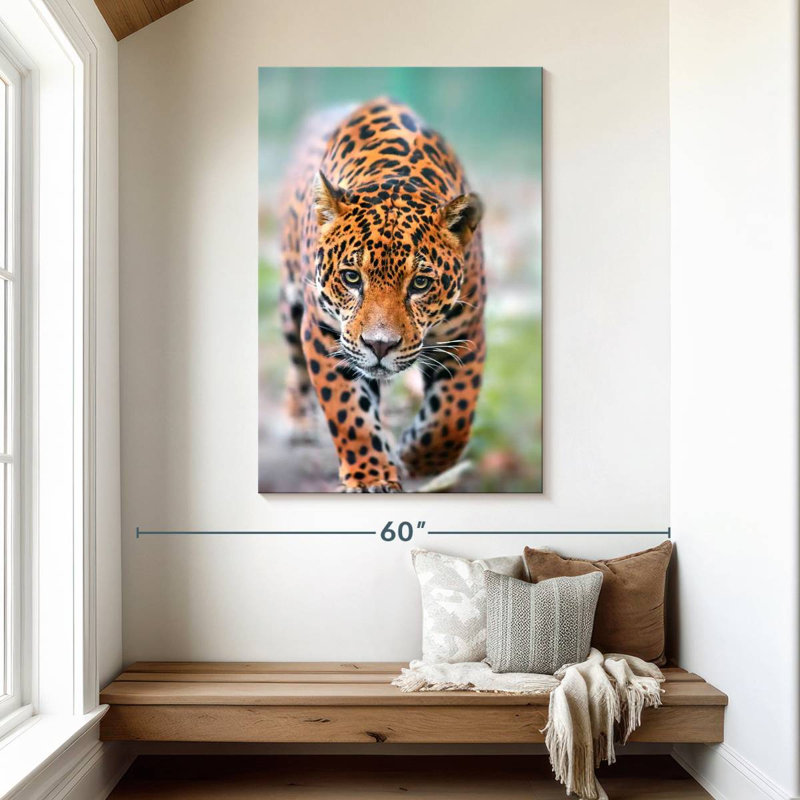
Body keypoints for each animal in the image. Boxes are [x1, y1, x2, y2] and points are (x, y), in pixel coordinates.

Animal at [278, 97, 486, 492]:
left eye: (419, 284)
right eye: (351, 277)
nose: (380, 345)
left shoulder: (465, 335)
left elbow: (452, 416)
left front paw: (417, 457)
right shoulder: (324, 333)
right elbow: (348, 413)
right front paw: (370, 476)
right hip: (289, 301)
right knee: (295, 362)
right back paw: (297, 421)